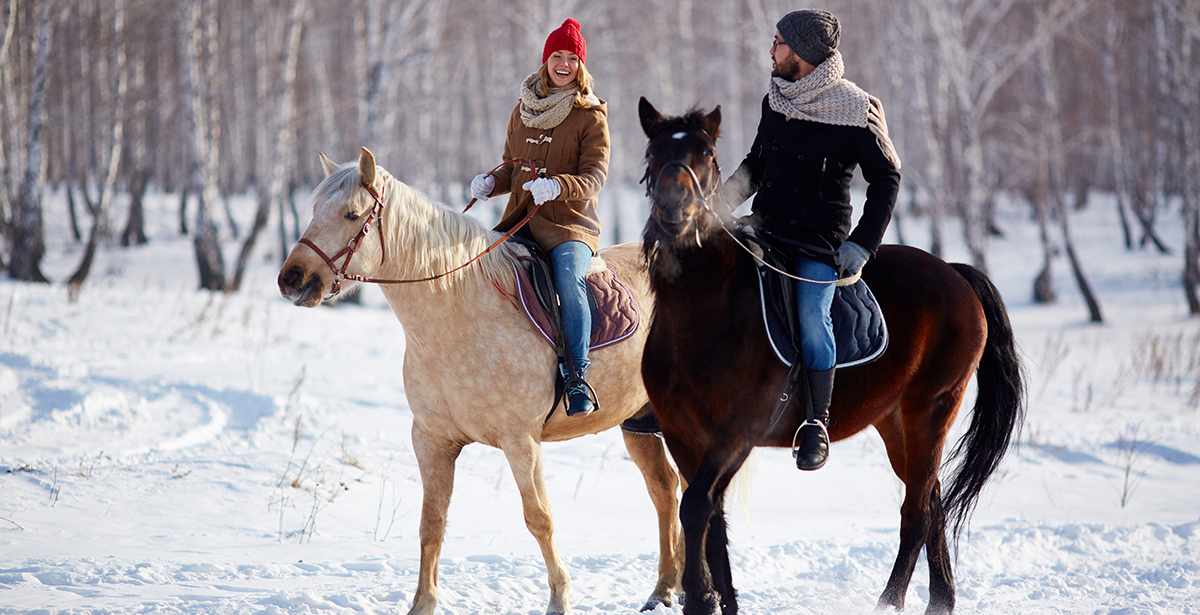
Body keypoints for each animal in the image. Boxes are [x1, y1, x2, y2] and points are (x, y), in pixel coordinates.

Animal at [274, 148, 681, 615]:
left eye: (351, 214)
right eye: (314, 211)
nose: (292, 279)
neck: (461, 314)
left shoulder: (521, 441)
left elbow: (539, 518)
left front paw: (560, 597)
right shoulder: (431, 440)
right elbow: (432, 523)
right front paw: (423, 603)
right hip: (638, 424)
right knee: (666, 491)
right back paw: (665, 589)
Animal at [638, 97, 1022, 615]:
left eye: (706, 155)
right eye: (653, 153)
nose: (674, 209)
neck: (704, 309)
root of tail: (955, 273)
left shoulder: (738, 431)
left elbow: (697, 506)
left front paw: (700, 598)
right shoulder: (684, 435)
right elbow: (710, 514)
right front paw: (722, 600)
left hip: (931, 409)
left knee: (916, 511)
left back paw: (889, 601)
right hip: (895, 421)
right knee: (933, 500)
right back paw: (940, 601)